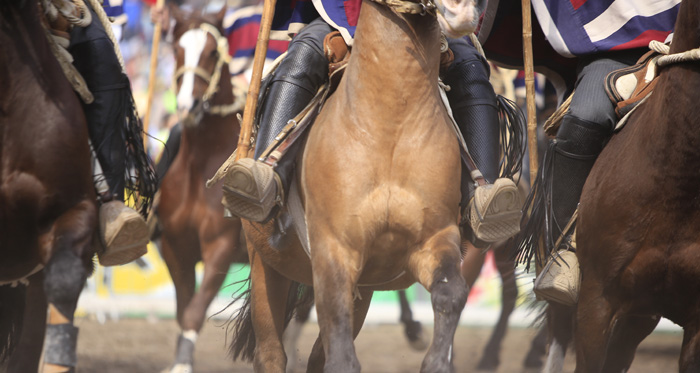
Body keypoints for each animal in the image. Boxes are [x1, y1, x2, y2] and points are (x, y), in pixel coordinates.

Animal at [230, 0, 486, 370]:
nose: (464, 10)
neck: (392, 126)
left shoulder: (433, 240)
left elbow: (451, 293)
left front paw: (437, 361)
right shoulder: (334, 250)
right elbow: (340, 355)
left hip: (363, 290)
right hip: (267, 265)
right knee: (271, 354)